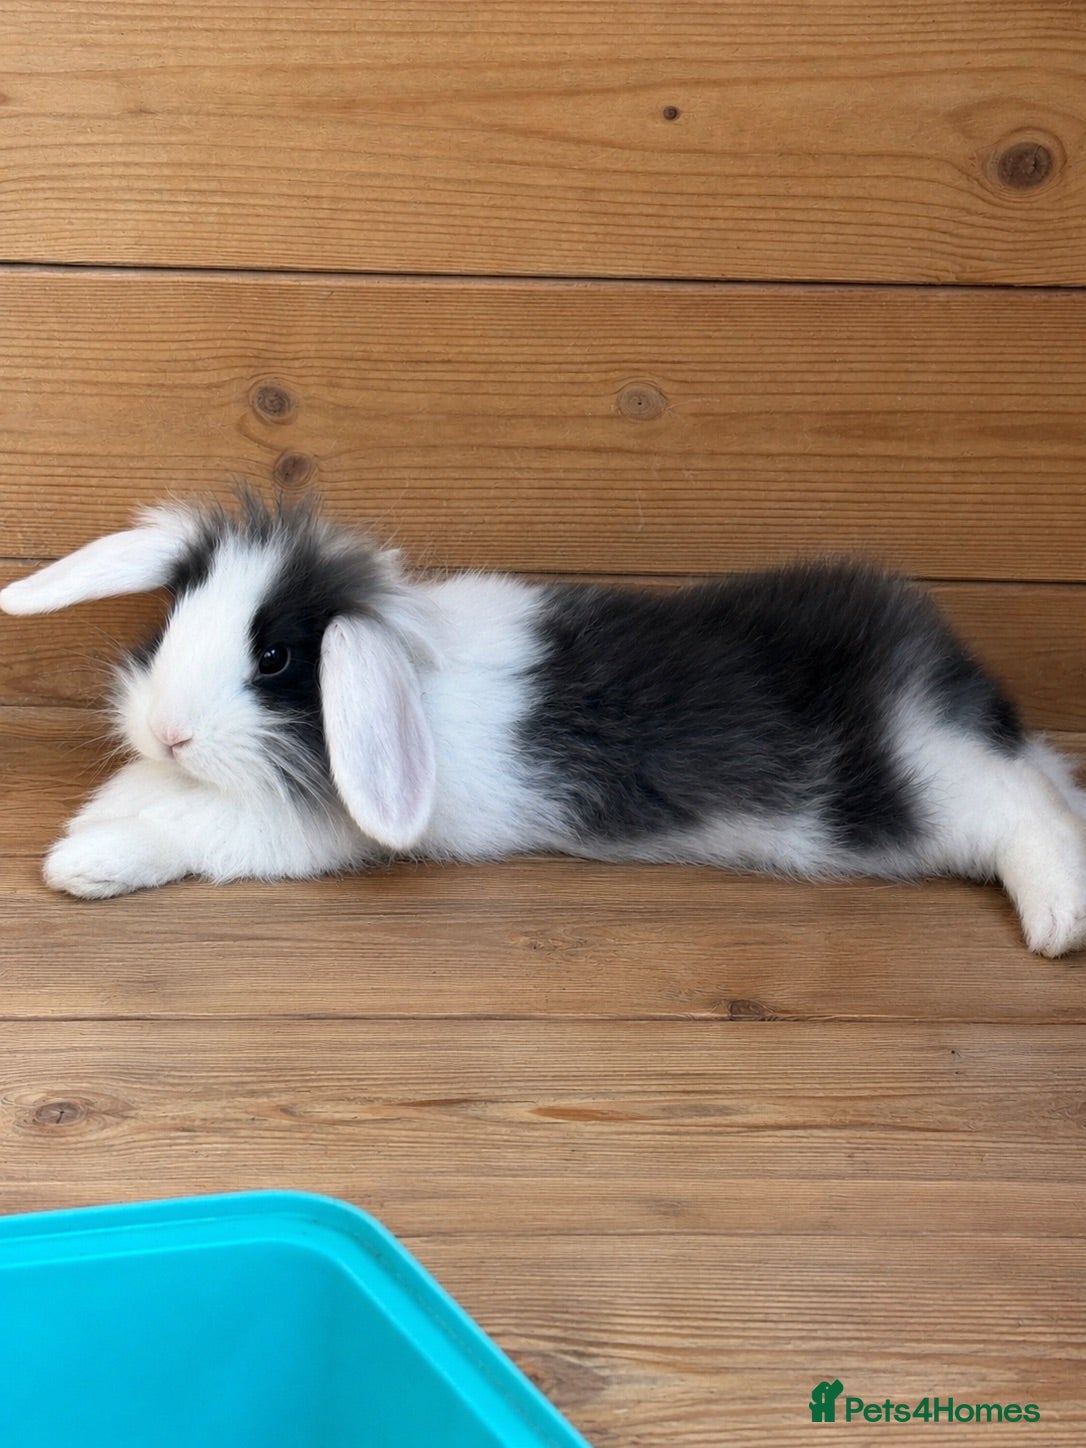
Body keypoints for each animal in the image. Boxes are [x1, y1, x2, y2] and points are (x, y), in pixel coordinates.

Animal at [3, 490, 1086, 957]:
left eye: (272, 660)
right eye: (170, 619)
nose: (168, 729)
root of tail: (946, 673)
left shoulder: (298, 829)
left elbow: (197, 828)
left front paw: (83, 859)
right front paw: (100, 811)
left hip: (924, 789)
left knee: (1028, 809)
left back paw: (1058, 923)